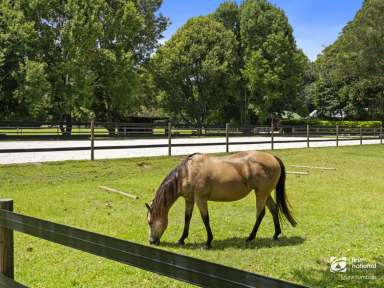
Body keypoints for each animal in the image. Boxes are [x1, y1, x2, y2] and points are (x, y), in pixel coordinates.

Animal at [146, 151, 296, 248]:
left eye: (149, 222)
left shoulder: (200, 199)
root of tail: (273, 157)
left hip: (261, 193)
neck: (187, 172)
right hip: (265, 193)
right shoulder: (189, 200)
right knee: (274, 209)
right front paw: (181, 239)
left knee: (260, 213)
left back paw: (250, 237)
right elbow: (187, 218)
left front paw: (208, 242)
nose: (151, 241)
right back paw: (276, 234)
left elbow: (205, 218)